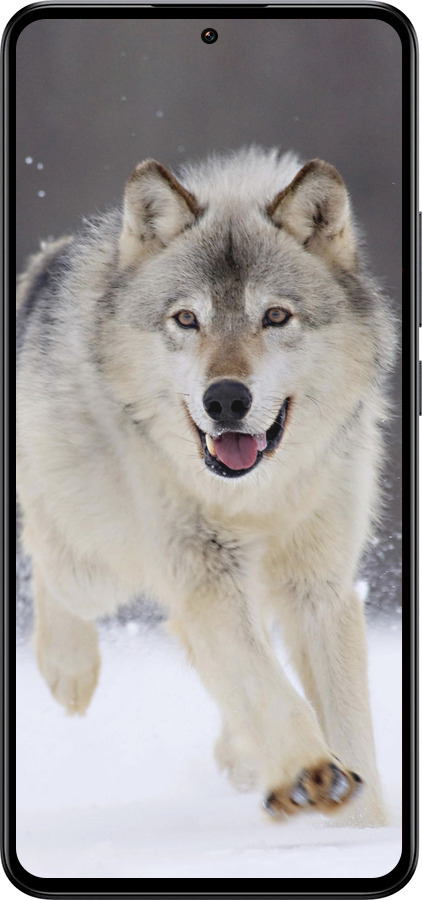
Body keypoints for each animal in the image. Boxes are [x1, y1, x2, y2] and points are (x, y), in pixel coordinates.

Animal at [16, 147, 395, 826]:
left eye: (275, 316)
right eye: (187, 319)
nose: (225, 399)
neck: (256, 497)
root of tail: (47, 261)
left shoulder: (319, 585)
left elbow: (348, 721)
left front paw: (362, 826)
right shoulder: (204, 574)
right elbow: (266, 686)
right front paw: (309, 773)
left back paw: (241, 757)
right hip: (99, 565)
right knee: (46, 555)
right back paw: (69, 671)